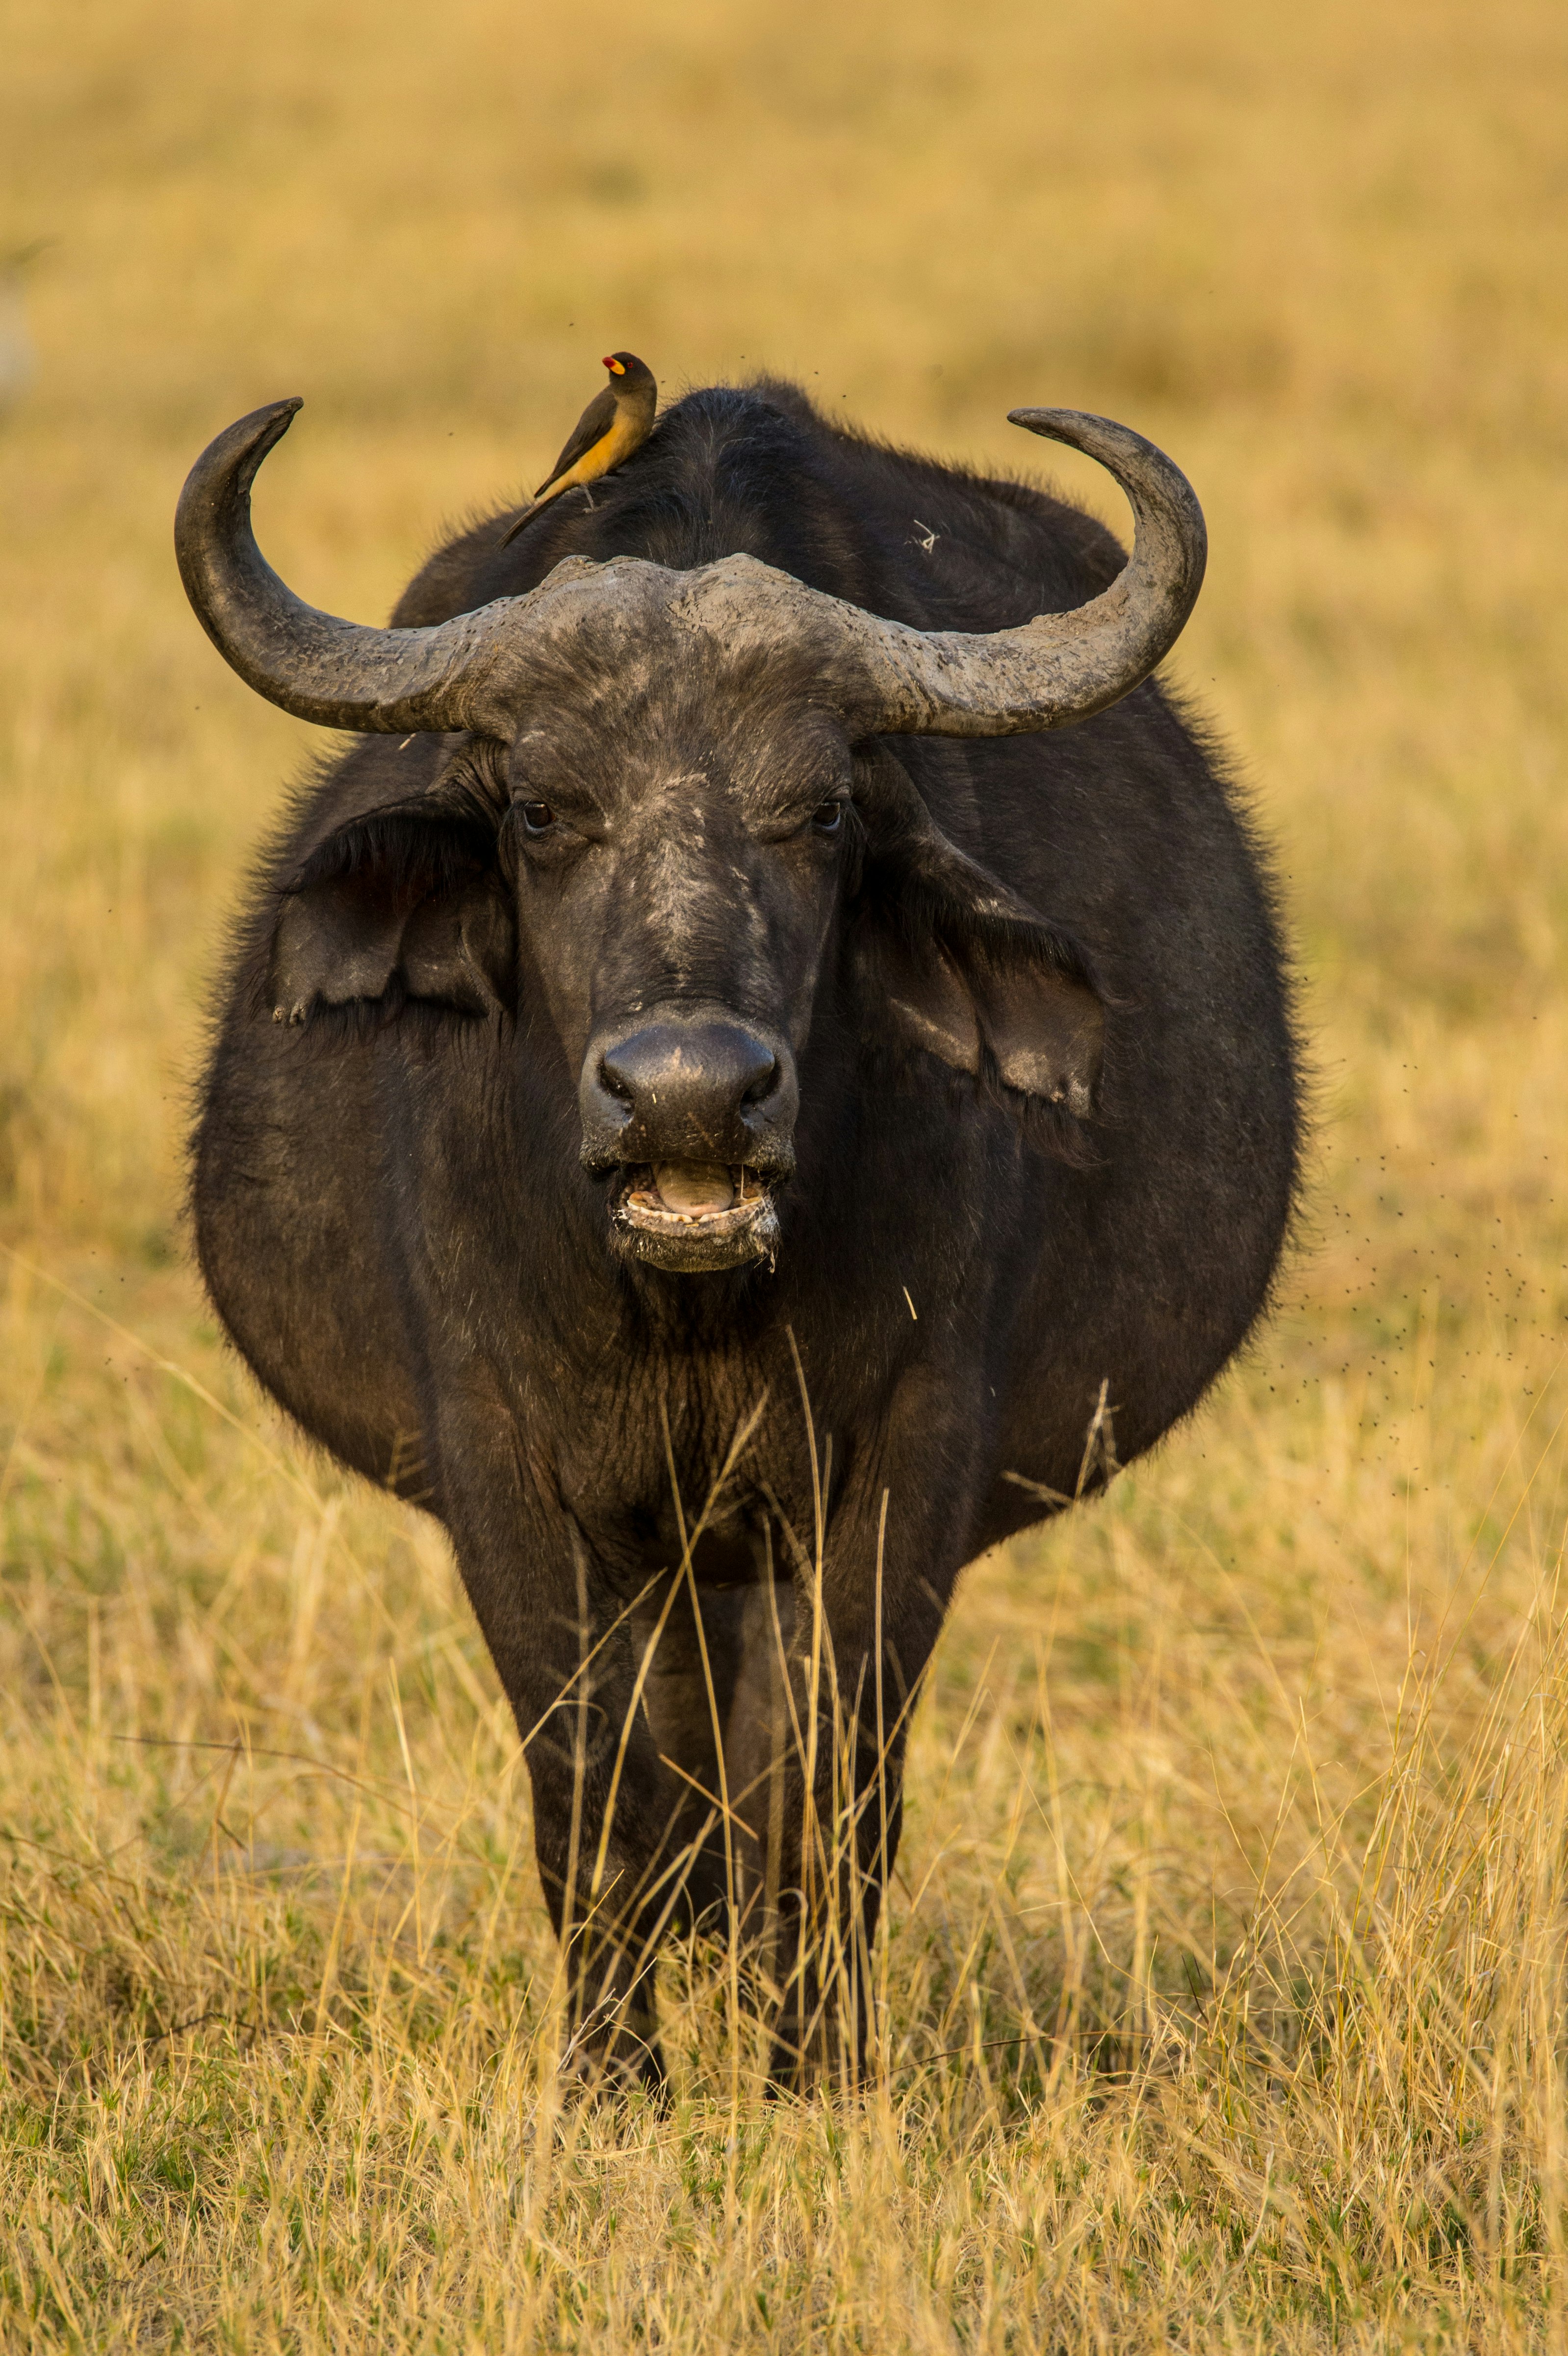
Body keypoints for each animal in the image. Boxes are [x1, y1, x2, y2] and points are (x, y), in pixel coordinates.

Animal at [174, 377, 1290, 2092]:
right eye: (541, 809)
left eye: (819, 810)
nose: (689, 1093)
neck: (680, 1308)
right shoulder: (507, 1469)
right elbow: (595, 1785)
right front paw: (609, 2083)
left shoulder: (900, 1461)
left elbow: (823, 1787)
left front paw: (812, 2076)